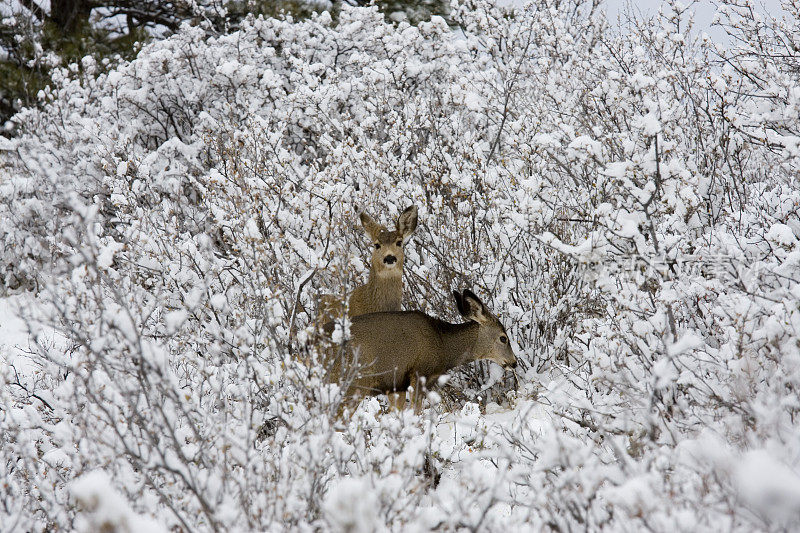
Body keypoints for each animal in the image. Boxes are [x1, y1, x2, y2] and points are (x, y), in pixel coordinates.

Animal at [332, 286, 520, 408]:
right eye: (503, 338)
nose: (514, 362)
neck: (443, 345)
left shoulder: (395, 385)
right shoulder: (419, 373)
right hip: (353, 384)